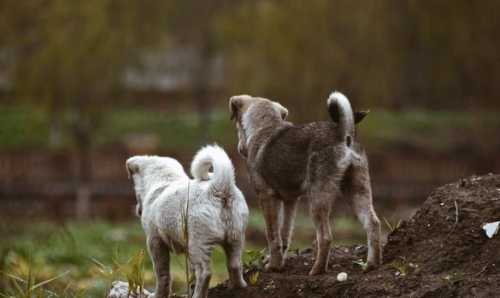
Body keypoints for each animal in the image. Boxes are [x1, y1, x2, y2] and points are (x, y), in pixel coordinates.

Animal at [127, 146, 248, 298]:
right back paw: (236, 287)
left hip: (198, 243)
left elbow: (162, 275)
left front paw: (159, 294)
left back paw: (199, 295)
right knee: (235, 264)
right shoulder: (187, 250)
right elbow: (191, 276)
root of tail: (219, 188)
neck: (165, 182)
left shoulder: (155, 242)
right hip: (235, 238)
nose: (138, 210)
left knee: (204, 273)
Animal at [231, 92, 382, 276]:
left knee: (325, 236)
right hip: (356, 188)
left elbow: (272, 235)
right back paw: (372, 264)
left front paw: (273, 266)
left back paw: (317, 270)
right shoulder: (290, 201)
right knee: (372, 222)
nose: (240, 149)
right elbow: (284, 232)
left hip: (318, 196)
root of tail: (343, 133)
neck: (265, 127)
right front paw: (279, 263)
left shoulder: (266, 197)